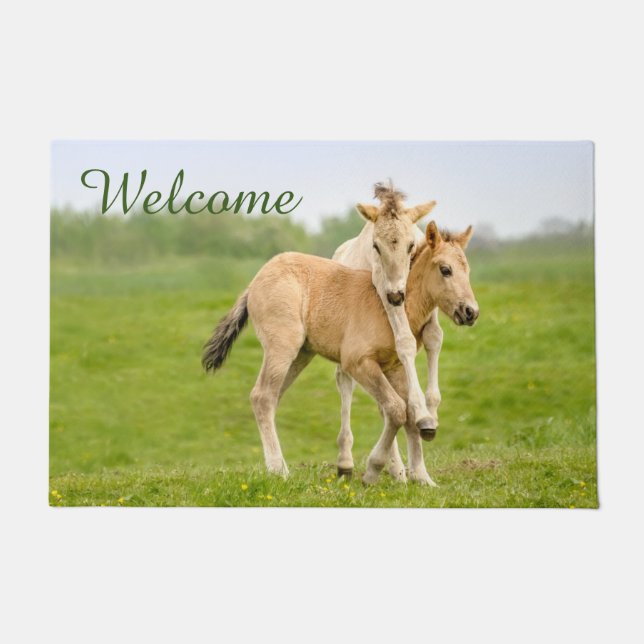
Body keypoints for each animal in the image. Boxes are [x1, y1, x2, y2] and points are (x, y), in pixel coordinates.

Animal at [202, 221, 479, 485]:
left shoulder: (395, 367)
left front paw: (422, 477)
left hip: (301, 354)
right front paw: (372, 470)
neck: (390, 306)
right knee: (263, 396)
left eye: (467, 271)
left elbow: (409, 412)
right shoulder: (357, 363)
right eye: (445, 270)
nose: (471, 312)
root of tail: (254, 282)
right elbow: (396, 409)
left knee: (269, 398)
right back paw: (279, 470)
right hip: (282, 347)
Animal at [333, 181, 444, 480]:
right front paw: (422, 415)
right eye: (376, 246)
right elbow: (404, 341)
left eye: (411, 246)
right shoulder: (384, 292)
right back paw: (356, 463)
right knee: (346, 381)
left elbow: (434, 338)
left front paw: (431, 410)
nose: (396, 295)